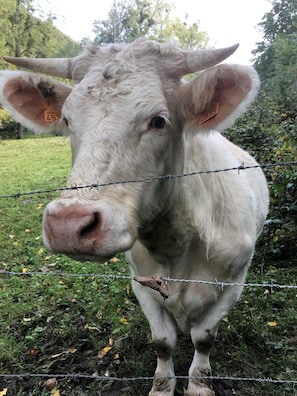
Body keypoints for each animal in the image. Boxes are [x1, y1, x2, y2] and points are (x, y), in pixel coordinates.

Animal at [0, 38, 268, 396]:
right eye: (67, 121)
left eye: (158, 120)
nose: (68, 224)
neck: (178, 245)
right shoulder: (142, 283)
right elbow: (163, 342)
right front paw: (161, 387)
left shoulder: (233, 283)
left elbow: (204, 338)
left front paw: (199, 385)